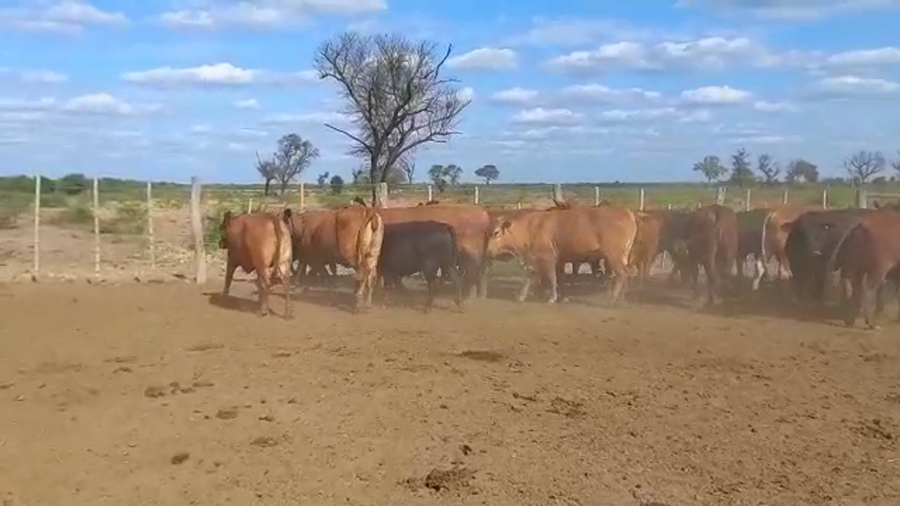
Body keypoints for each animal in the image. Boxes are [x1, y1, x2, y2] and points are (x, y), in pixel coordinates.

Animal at [485, 205, 638, 304]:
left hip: (613, 255)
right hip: (623, 255)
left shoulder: (548, 258)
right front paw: (522, 296)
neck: (530, 228)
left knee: (623, 273)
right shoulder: (543, 259)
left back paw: (612, 299)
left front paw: (552, 298)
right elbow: (542, 276)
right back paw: (623, 298)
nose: (488, 251)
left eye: (496, 233)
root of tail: (627, 212)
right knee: (627, 273)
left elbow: (552, 277)